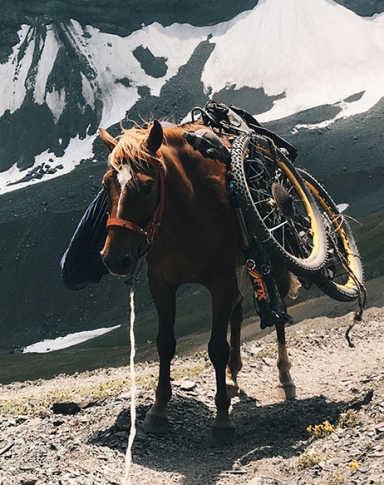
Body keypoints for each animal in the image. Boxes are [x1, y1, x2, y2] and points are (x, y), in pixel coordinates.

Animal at [99, 120, 296, 442]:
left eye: (148, 186)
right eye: (106, 184)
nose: (114, 259)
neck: (186, 213)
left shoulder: (220, 283)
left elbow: (216, 347)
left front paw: (222, 420)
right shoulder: (161, 284)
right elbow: (165, 343)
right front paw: (158, 410)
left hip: (274, 260)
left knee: (278, 315)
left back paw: (285, 378)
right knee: (238, 308)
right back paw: (232, 376)